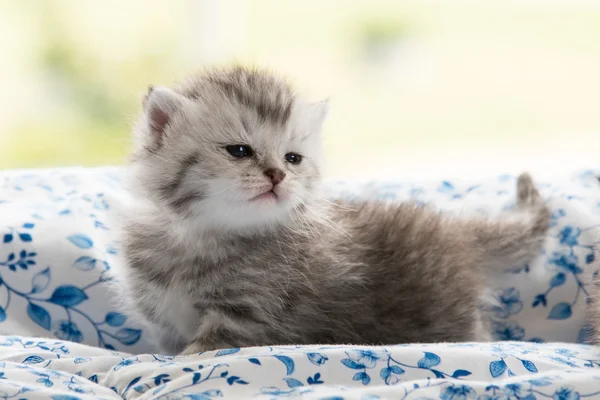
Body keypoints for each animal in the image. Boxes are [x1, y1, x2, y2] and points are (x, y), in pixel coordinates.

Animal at [115, 66, 552, 356]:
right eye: (239, 150)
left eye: (292, 158)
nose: (277, 175)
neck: (199, 236)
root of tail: (455, 230)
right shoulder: (164, 320)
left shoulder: (246, 317)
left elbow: (196, 356)